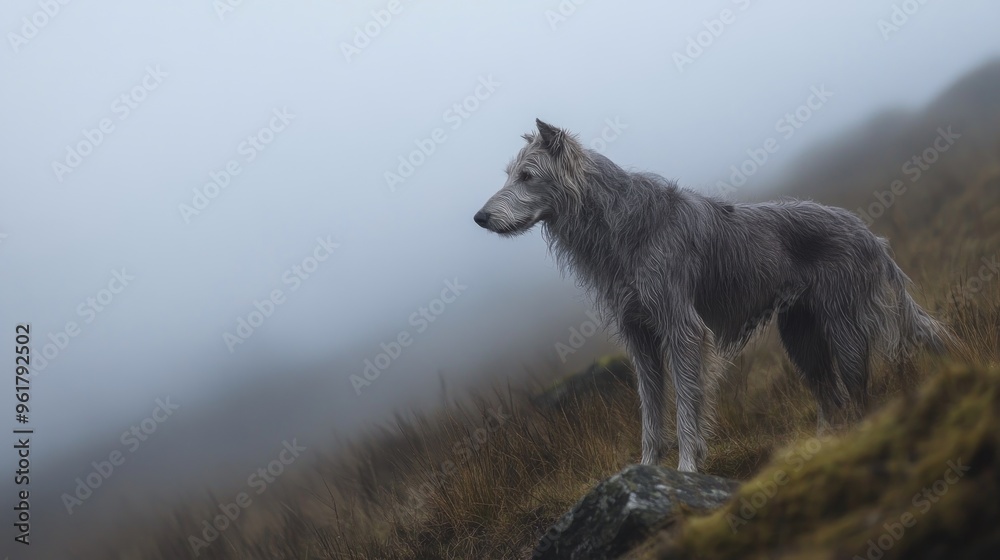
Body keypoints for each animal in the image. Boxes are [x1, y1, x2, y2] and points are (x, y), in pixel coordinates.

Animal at [474, 119, 950, 473]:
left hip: (843, 328)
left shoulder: (681, 328)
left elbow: (687, 405)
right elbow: (650, 412)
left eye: (528, 176)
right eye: (510, 175)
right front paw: (646, 471)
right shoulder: (639, 337)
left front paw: (686, 471)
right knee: (831, 399)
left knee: (858, 394)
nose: (480, 217)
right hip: (801, 337)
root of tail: (870, 234)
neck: (622, 226)